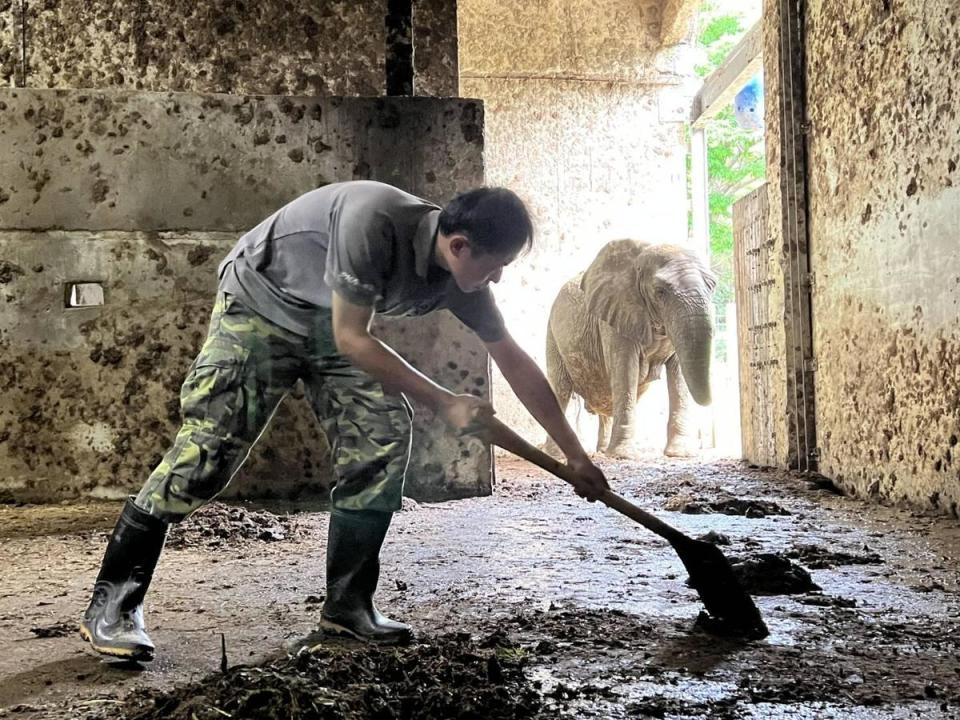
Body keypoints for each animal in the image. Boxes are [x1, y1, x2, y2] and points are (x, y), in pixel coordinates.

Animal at [544, 239, 716, 458]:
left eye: (712, 286)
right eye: (660, 292)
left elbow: (679, 375)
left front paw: (681, 454)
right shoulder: (614, 316)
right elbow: (626, 371)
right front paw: (623, 455)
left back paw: (601, 451)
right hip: (552, 335)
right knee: (561, 389)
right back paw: (556, 454)